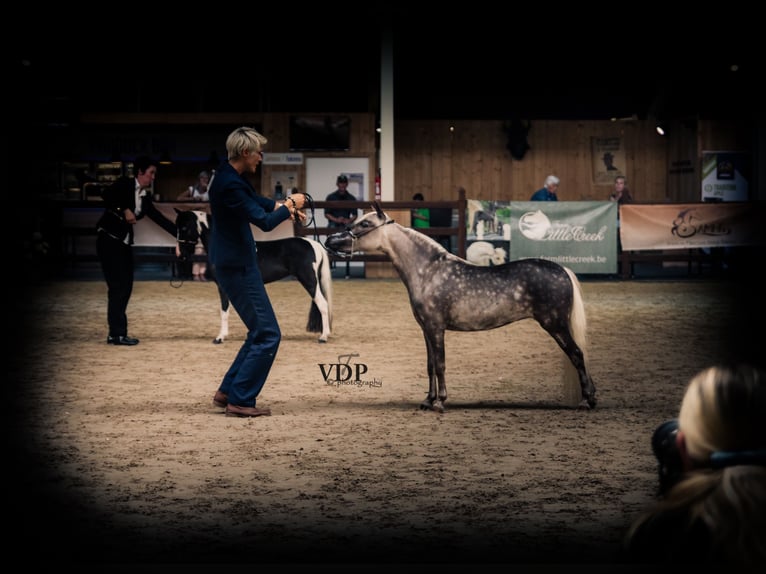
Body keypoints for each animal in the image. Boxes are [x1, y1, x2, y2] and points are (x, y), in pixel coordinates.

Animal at [177, 212, 332, 346]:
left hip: (309, 281)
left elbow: (225, 311)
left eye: (184, 227)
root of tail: (314, 245)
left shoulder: (223, 286)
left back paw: (323, 337)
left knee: (323, 304)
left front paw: (220, 337)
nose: (181, 254)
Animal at [324, 204, 600, 414]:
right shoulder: (426, 329)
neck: (428, 272)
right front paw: (427, 400)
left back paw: (587, 400)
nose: (329, 240)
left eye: (365, 224)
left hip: (555, 325)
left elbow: (441, 364)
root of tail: (562, 269)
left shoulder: (436, 328)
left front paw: (440, 402)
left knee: (577, 354)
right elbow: (430, 365)